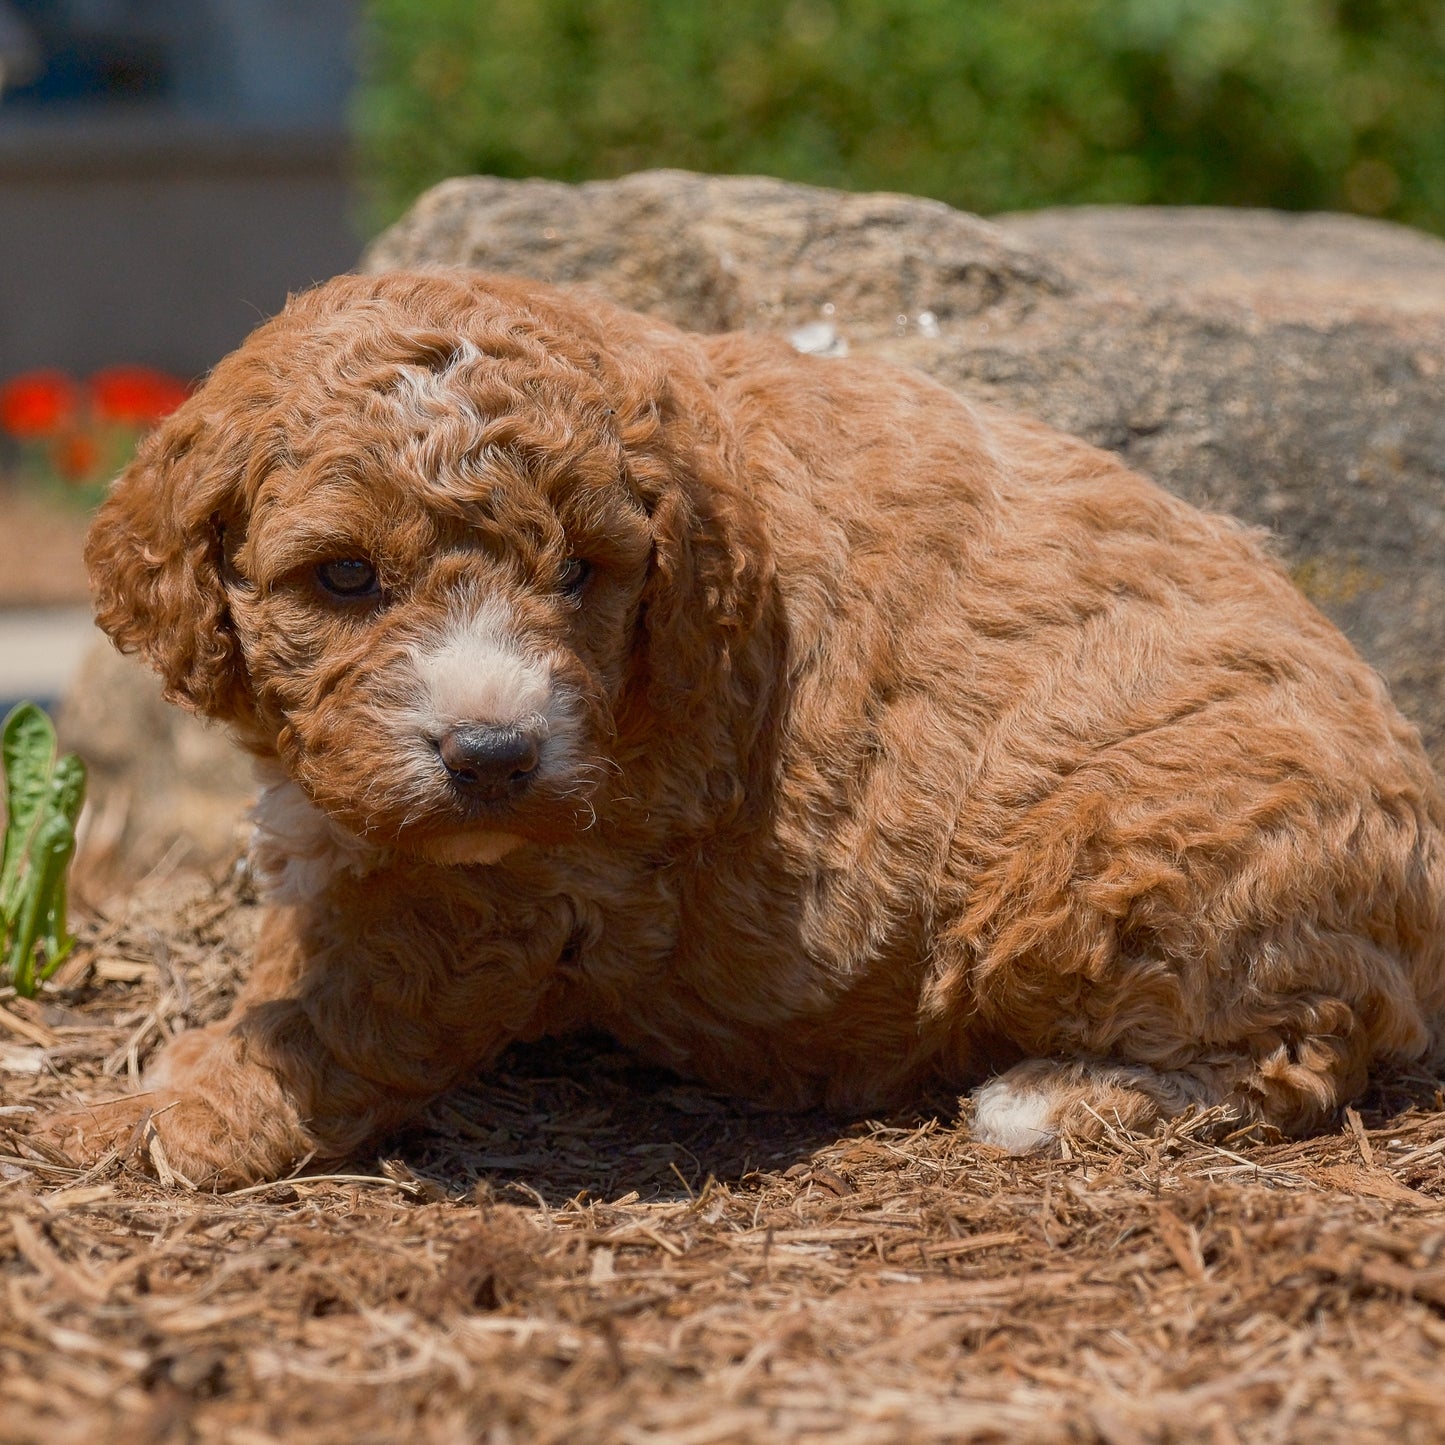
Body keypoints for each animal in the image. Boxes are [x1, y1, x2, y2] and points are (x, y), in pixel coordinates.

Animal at [67, 271, 1445, 1184]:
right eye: (345, 578)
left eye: (581, 573)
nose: (493, 756)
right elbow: (303, 943)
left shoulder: (513, 881)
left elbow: (340, 1009)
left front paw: (173, 1116)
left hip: (1120, 844)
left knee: (1301, 1049)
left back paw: (1046, 1098)